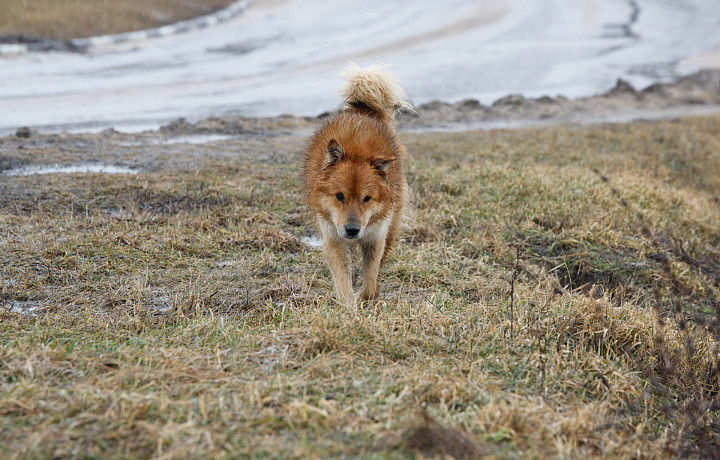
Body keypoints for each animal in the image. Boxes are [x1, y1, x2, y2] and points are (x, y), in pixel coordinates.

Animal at [300, 63, 410, 310]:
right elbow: (342, 281)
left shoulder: (376, 237)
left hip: (391, 227)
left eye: (366, 198)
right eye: (339, 196)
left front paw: (363, 297)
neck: (357, 152)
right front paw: (349, 308)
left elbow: (370, 280)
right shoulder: (333, 238)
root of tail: (363, 111)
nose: (352, 230)